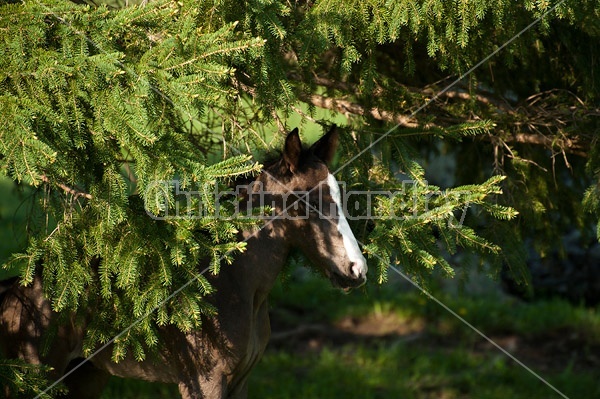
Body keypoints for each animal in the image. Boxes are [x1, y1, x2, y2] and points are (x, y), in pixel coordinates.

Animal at [0, 126, 368, 398]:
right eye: (309, 200)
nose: (357, 270)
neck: (233, 284)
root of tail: (16, 293)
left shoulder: (240, 382)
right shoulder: (204, 381)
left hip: (85, 377)